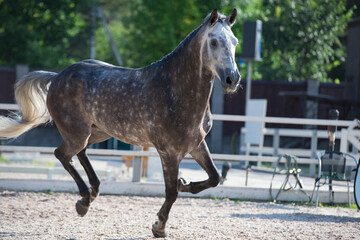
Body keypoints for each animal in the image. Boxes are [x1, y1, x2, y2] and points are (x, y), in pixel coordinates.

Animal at [0, 8, 242, 237]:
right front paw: (159, 227)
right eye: (213, 41)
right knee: (62, 155)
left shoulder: (196, 145)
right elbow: (171, 192)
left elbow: (214, 177)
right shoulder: (168, 152)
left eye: (235, 42)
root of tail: (58, 76)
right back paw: (84, 200)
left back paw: (92, 192)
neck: (174, 90)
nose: (233, 79)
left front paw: (185, 184)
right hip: (77, 133)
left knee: (80, 153)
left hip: (98, 131)